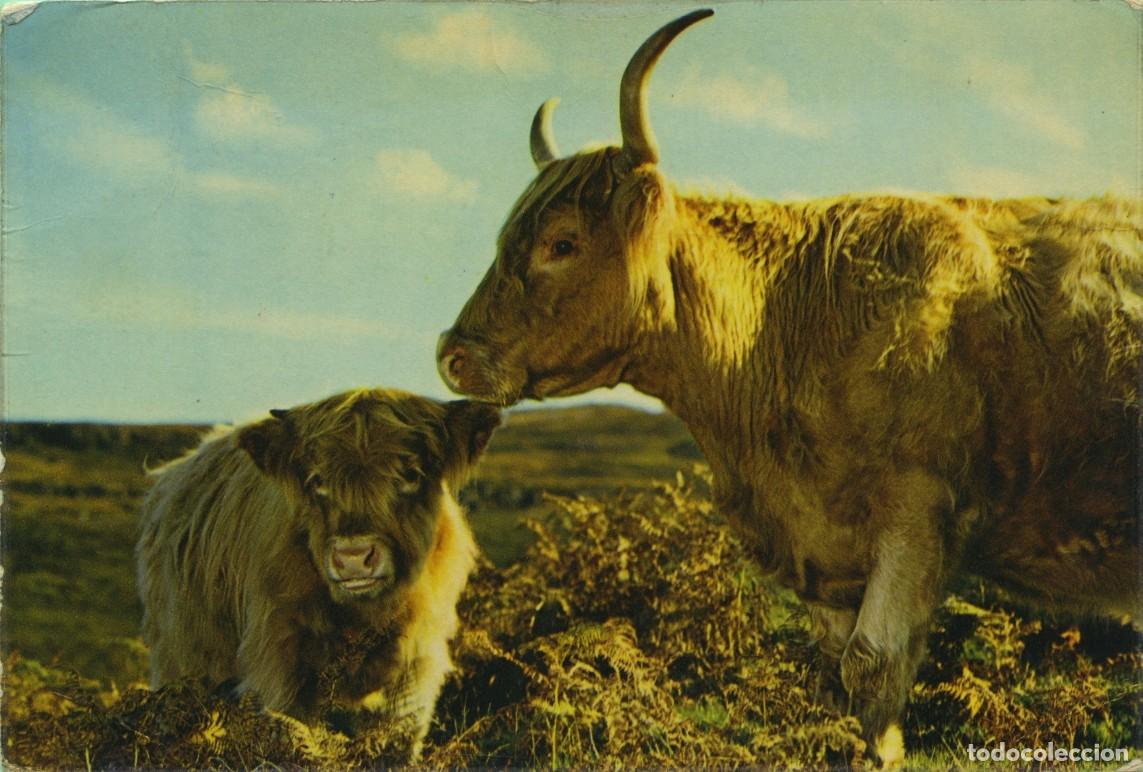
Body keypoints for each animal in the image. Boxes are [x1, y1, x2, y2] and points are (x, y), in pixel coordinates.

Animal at [136, 388, 500, 759]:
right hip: (184, 657)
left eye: (411, 474)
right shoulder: (278, 661)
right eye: (317, 480)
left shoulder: (415, 667)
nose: (353, 557)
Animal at [436, 9, 1142, 766]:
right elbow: (837, 682)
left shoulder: (919, 514)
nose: (452, 355)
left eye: (561, 243)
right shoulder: (825, 556)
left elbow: (873, 666)